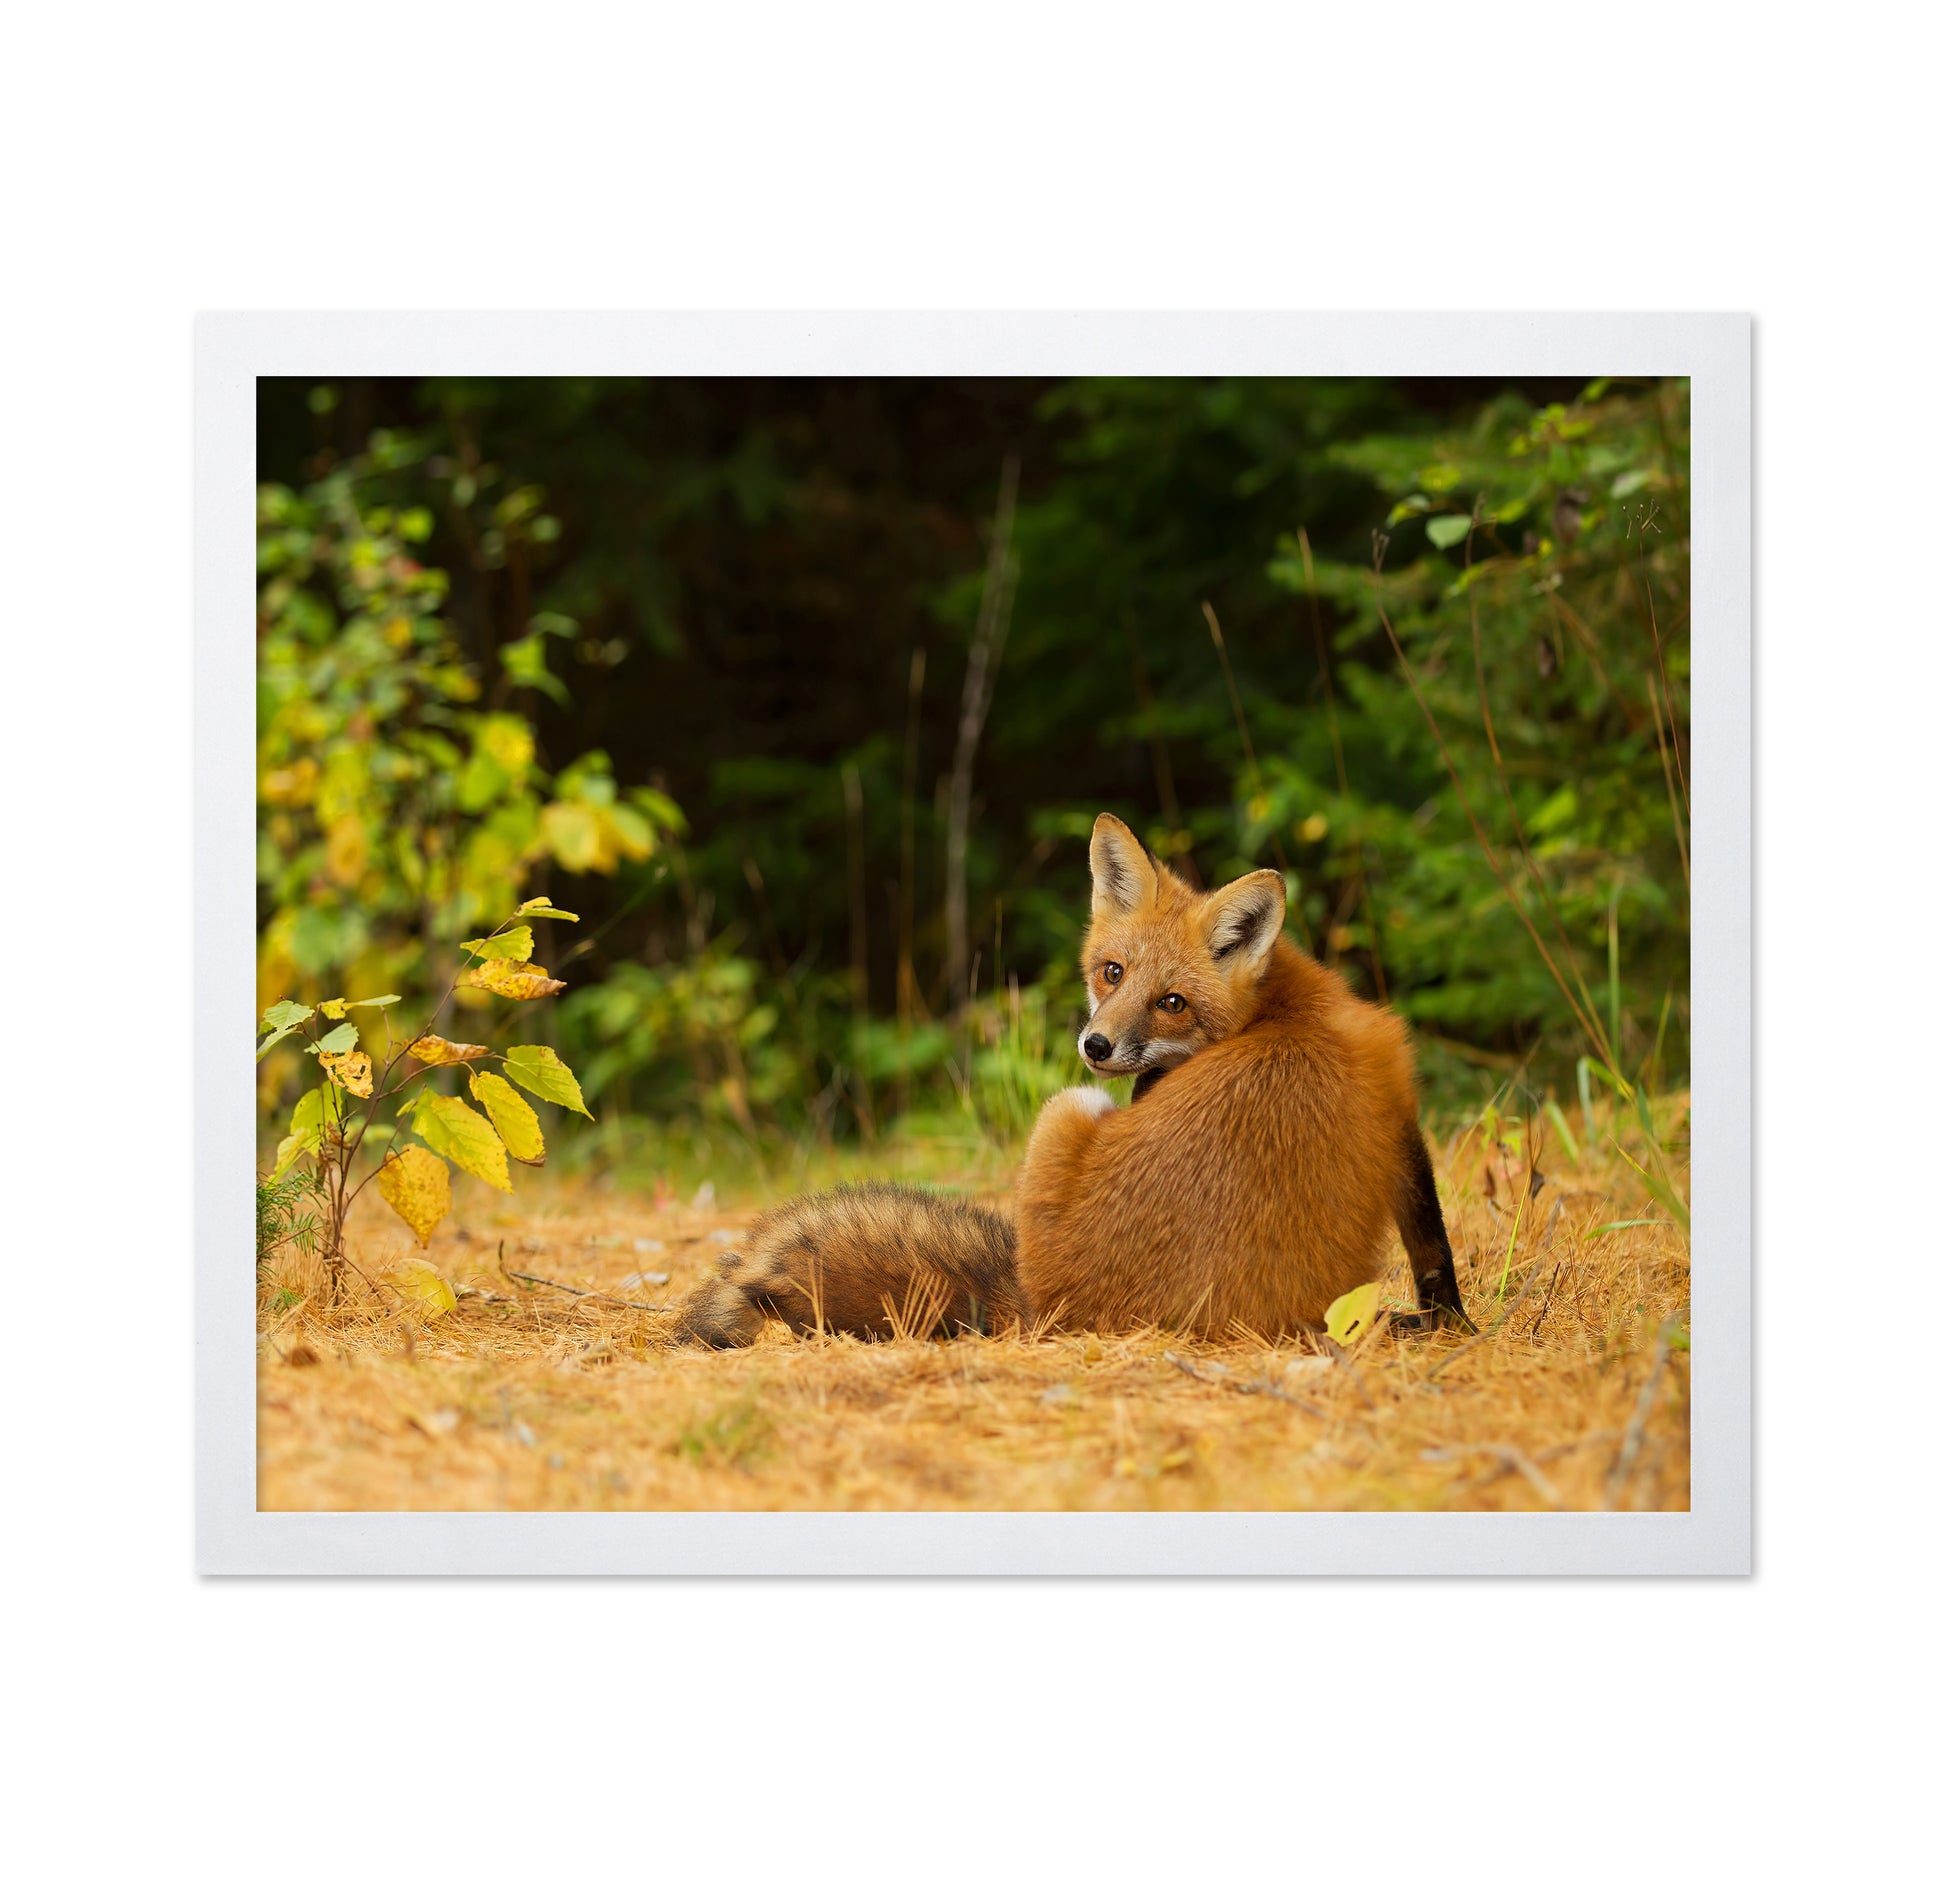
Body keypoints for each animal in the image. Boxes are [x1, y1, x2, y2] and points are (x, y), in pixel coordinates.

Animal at [674, 812, 1469, 1347]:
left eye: (1171, 1001)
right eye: (1112, 971)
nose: (1097, 1044)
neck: (1285, 1008)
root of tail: (1051, 1308)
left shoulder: (1397, 1098)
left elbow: (1432, 1244)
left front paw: (1448, 1323)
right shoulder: (1396, 1106)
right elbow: (1432, 1243)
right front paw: (1450, 1323)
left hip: (1066, 1108)